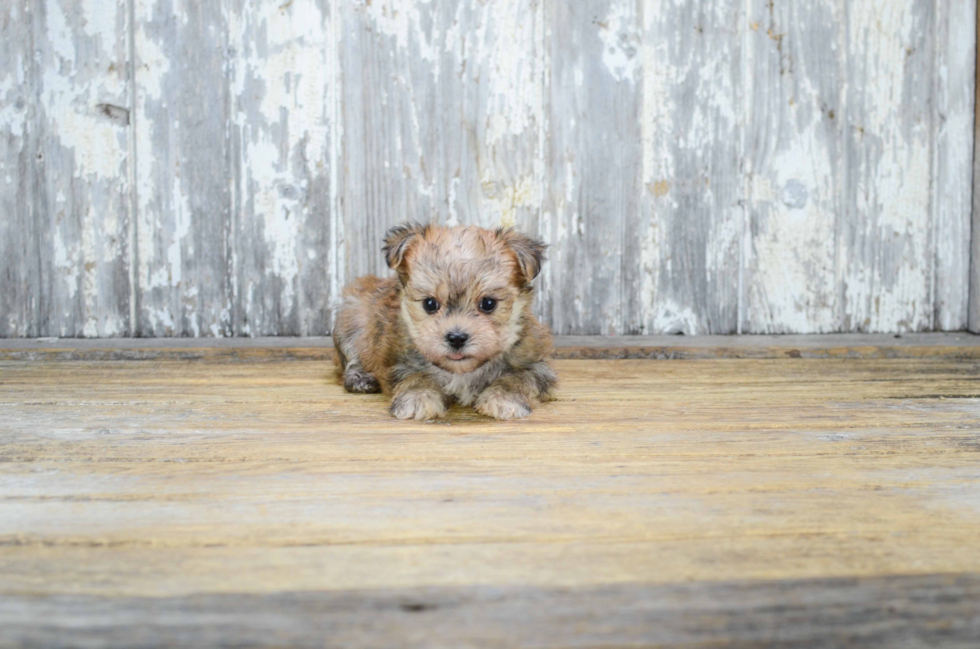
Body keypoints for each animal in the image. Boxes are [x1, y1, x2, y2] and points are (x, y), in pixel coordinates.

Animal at [334, 223, 556, 420]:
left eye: (488, 303)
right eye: (430, 304)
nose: (456, 338)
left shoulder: (537, 365)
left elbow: (518, 377)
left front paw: (504, 398)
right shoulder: (401, 363)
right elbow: (417, 377)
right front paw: (418, 397)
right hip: (352, 316)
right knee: (351, 358)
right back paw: (360, 378)